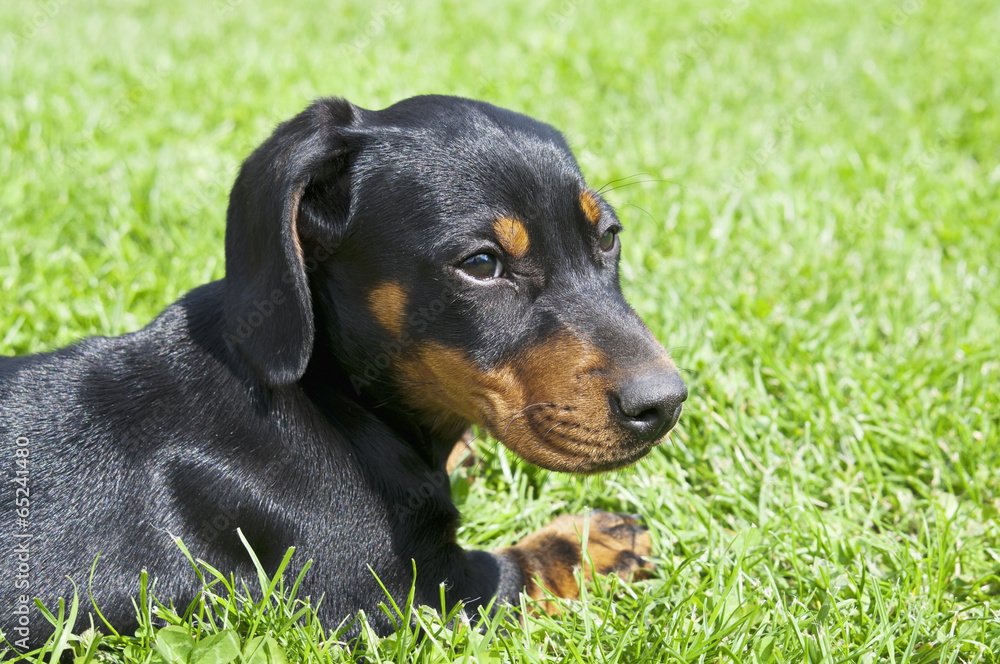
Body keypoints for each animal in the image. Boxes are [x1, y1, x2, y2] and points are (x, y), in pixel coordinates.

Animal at [0, 96, 684, 652]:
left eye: (608, 238)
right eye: (482, 264)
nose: (666, 404)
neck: (330, 395)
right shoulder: (401, 595)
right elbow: (515, 570)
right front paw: (596, 540)